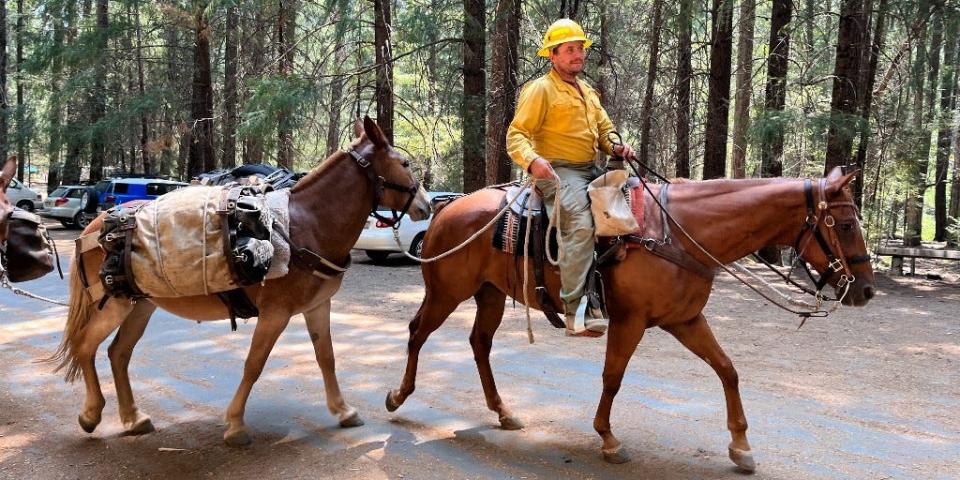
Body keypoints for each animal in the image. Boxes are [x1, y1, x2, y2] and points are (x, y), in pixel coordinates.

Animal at [48, 117, 432, 446]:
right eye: (405, 164)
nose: (427, 206)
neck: (304, 226)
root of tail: (94, 228)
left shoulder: (317, 306)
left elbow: (326, 358)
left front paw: (343, 411)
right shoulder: (275, 314)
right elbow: (254, 364)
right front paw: (235, 425)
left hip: (141, 304)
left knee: (118, 353)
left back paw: (134, 418)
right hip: (114, 304)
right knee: (86, 347)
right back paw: (91, 414)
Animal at [384, 167, 876, 470]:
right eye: (846, 225)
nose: (867, 289)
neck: (680, 233)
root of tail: (449, 207)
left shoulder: (686, 320)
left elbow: (727, 370)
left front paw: (740, 446)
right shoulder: (630, 321)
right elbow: (613, 377)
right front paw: (608, 439)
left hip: (489, 295)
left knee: (480, 343)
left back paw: (503, 412)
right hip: (446, 291)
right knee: (418, 332)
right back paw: (397, 395)